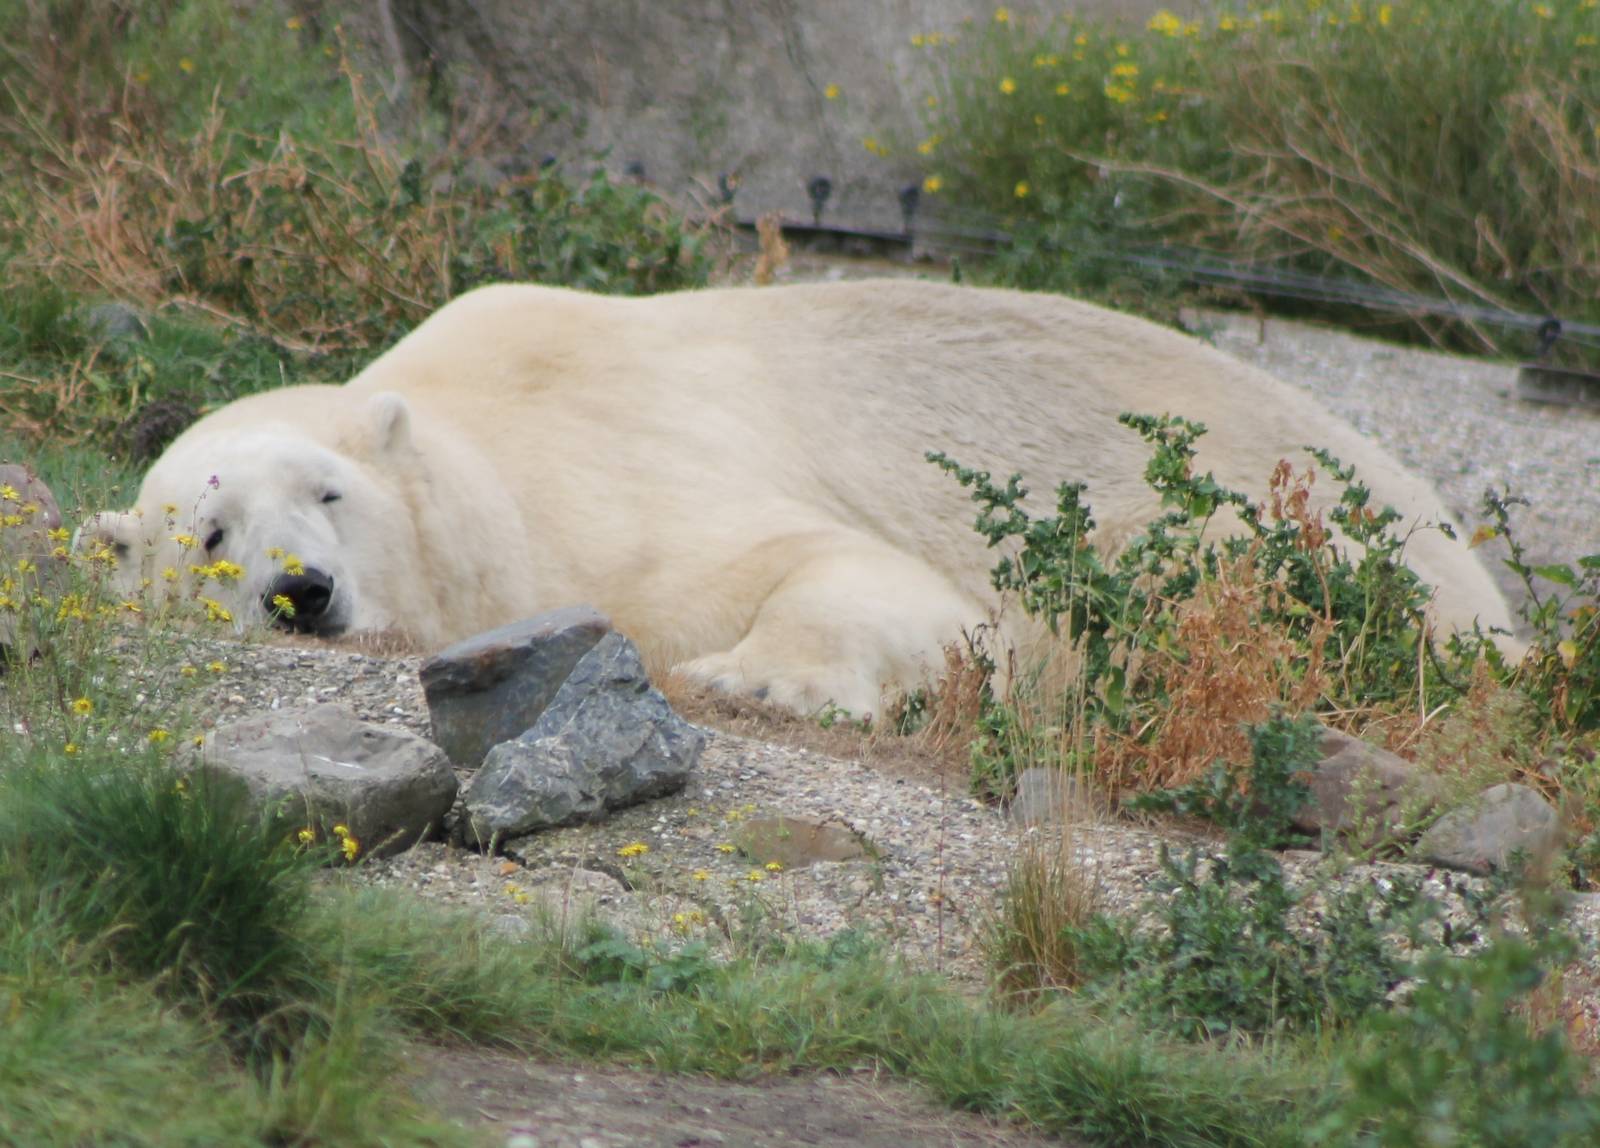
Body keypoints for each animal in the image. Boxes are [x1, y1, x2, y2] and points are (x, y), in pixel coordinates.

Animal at [82, 279, 1516, 717]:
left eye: (329, 493)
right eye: (210, 535)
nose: (303, 591)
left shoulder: (606, 483)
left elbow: (852, 573)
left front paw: (755, 676)